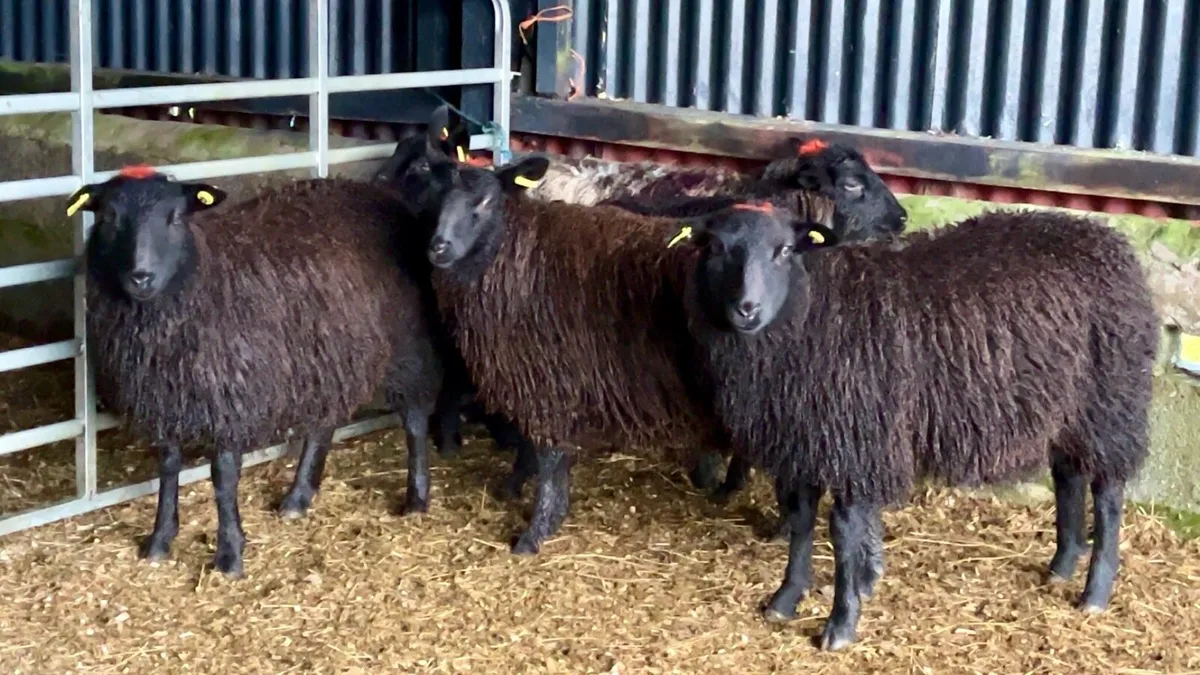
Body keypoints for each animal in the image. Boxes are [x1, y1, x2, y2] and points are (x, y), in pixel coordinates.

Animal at [68, 167, 444, 576]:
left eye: (176, 217)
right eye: (108, 217)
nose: (141, 276)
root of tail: (382, 196)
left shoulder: (231, 397)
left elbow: (224, 476)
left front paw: (230, 553)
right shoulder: (166, 400)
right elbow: (167, 468)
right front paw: (160, 539)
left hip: (406, 341)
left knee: (414, 417)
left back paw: (416, 497)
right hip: (325, 354)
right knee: (323, 423)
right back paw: (298, 497)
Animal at [421, 153, 839, 554]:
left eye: (486, 201)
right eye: (439, 197)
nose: (437, 248)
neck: (515, 254)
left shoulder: (546, 377)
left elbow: (548, 458)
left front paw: (535, 530)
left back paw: (778, 523)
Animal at [673, 203, 1158, 650]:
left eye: (785, 250)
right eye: (715, 248)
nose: (746, 309)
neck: (813, 308)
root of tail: (1108, 239)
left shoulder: (857, 438)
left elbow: (844, 533)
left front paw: (841, 623)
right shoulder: (807, 441)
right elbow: (801, 521)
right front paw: (788, 597)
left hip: (1110, 401)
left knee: (1108, 496)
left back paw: (1095, 591)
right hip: (1068, 408)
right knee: (1068, 477)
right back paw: (1062, 565)